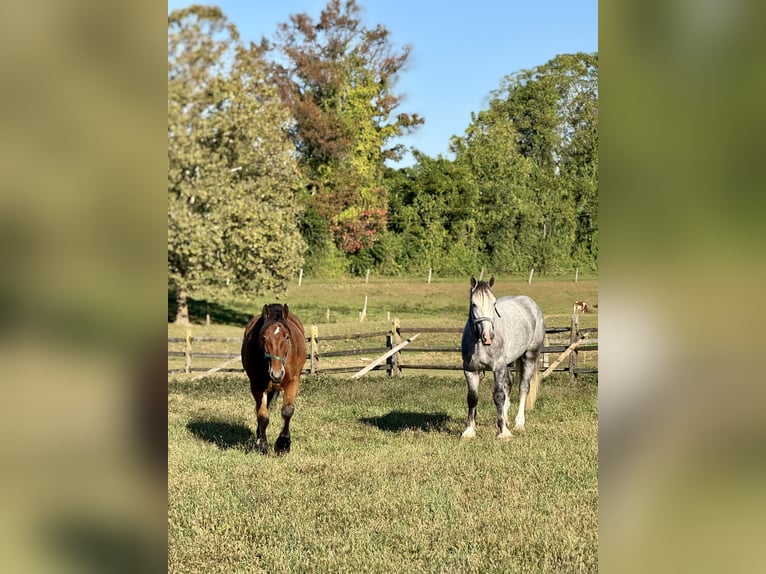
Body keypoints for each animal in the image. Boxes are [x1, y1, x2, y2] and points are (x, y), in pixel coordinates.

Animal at [241, 303, 307, 455]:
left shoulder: (293, 381)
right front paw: (262, 444)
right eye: (264, 338)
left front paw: (283, 444)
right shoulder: (257, 386)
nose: (276, 374)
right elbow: (263, 415)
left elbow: (287, 411)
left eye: (287, 337)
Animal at [461, 275, 545, 440]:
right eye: (474, 304)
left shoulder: (498, 368)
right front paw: (469, 431)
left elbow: (499, 396)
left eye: (494, 304)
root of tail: (531, 303)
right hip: (508, 363)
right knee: (509, 385)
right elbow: (472, 398)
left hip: (529, 356)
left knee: (523, 387)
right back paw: (505, 420)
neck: (479, 343)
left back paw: (519, 424)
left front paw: (504, 433)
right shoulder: (470, 370)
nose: (488, 337)